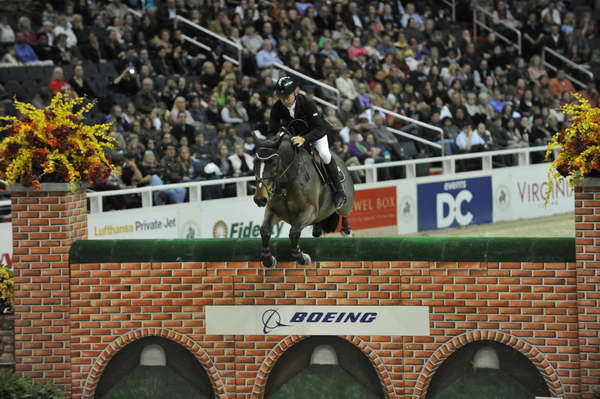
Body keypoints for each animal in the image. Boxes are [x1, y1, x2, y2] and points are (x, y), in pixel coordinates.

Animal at [252, 126, 354, 268]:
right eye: (254, 163)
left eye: (273, 164)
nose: (260, 199)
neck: (287, 182)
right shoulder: (273, 211)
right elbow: (265, 230)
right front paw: (268, 259)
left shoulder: (309, 211)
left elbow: (294, 233)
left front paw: (302, 257)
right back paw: (318, 230)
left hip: (344, 205)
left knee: (344, 214)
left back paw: (345, 228)